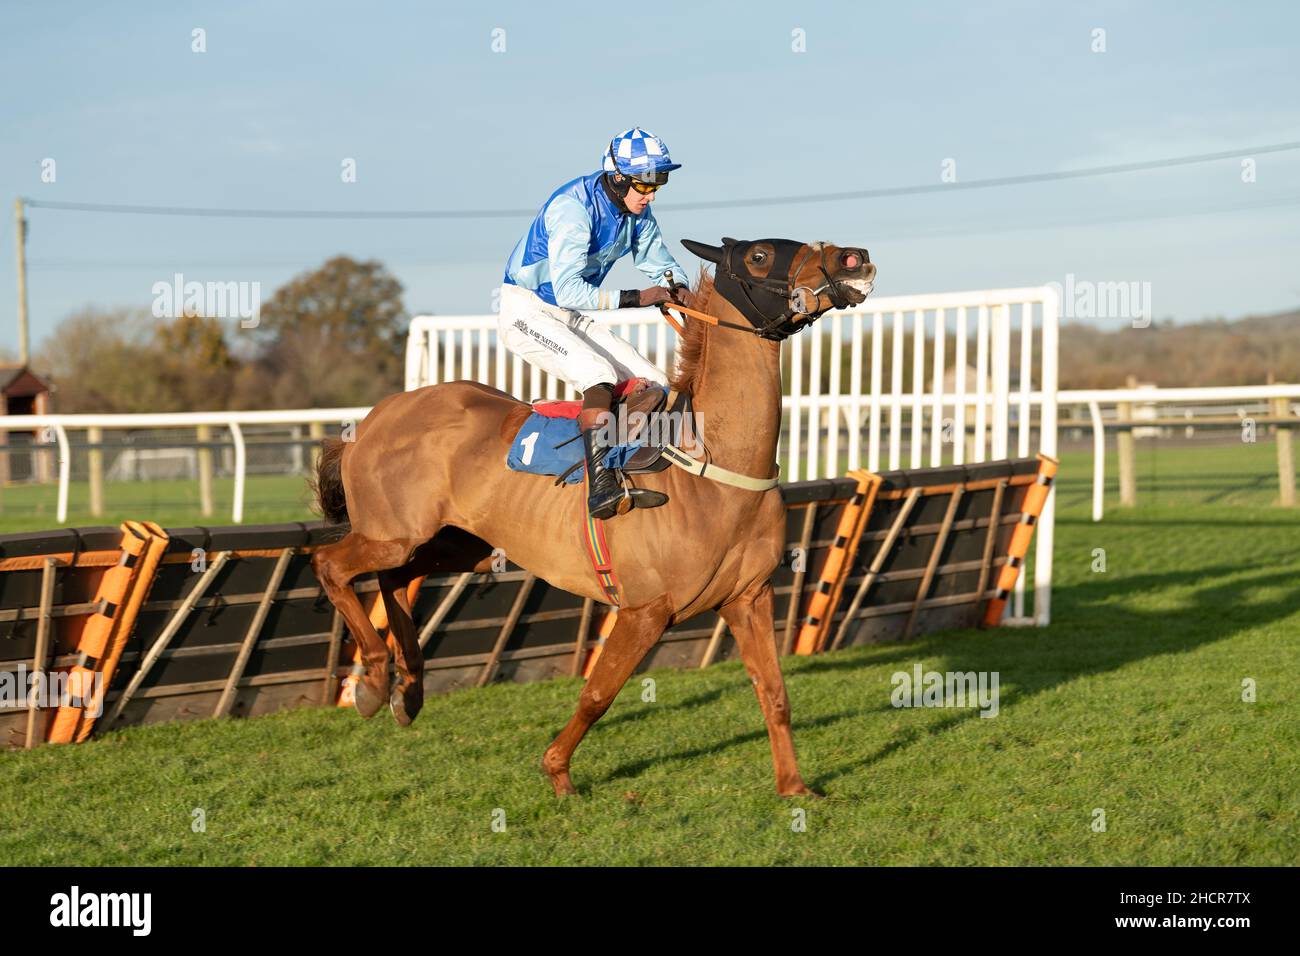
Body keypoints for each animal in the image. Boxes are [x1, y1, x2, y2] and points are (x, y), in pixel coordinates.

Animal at [310, 235, 878, 796]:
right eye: (759, 256)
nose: (855, 258)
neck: (711, 464)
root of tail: (371, 419)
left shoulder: (749, 597)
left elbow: (775, 692)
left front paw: (795, 787)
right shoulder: (645, 611)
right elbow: (598, 695)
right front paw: (557, 771)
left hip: (463, 543)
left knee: (395, 576)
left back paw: (406, 688)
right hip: (396, 532)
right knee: (332, 565)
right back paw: (376, 678)